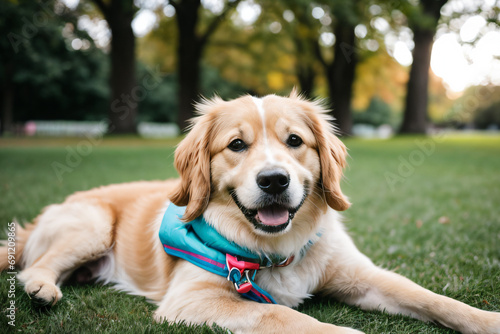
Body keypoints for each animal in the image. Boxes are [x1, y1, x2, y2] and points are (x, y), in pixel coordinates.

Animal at [0, 92, 500, 334]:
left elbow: (431, 298)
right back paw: (43, 289)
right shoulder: (190, 299)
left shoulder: (364, 277)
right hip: (93, 224)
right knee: (33, 268)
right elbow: (281, 316)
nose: (274, 180)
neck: (275, 247)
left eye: (295, 141)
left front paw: (488, 321)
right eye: (236, 145)